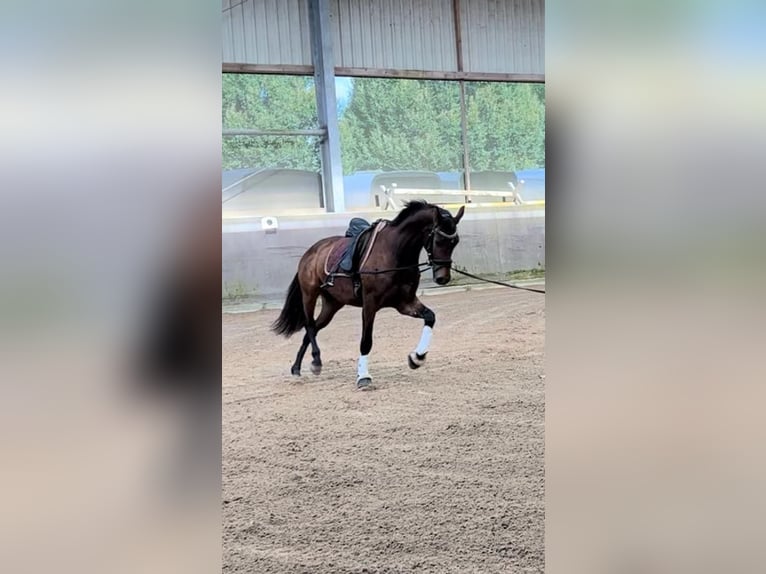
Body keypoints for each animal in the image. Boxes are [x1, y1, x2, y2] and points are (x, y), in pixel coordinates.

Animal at [272, 201, 464, 392]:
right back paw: (316, 362)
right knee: (310, 325)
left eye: (455, 242)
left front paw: (417, 358)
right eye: (438, 240)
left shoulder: (405, 303)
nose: (443, 278)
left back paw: (297, 367)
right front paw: (363, 377)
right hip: (309, 295)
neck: (395, 253)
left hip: (332, 304)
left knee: (313, 328)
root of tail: (311, 252)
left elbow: (430, 317)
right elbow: (366, 341)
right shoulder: (370, 304)